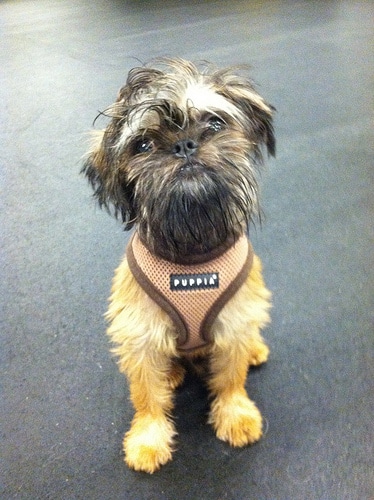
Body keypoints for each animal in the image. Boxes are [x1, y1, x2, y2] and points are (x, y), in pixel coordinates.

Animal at [82, 57, 274, 472]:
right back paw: (170, 372)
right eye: (142, 144)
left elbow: (231, 378)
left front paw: (235, 415)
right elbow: (147, 397)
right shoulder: (139, 332)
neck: (191, 249)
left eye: (214, 123)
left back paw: (254, 349)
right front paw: (148, 439)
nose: (184, 145)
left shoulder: (234, 321)